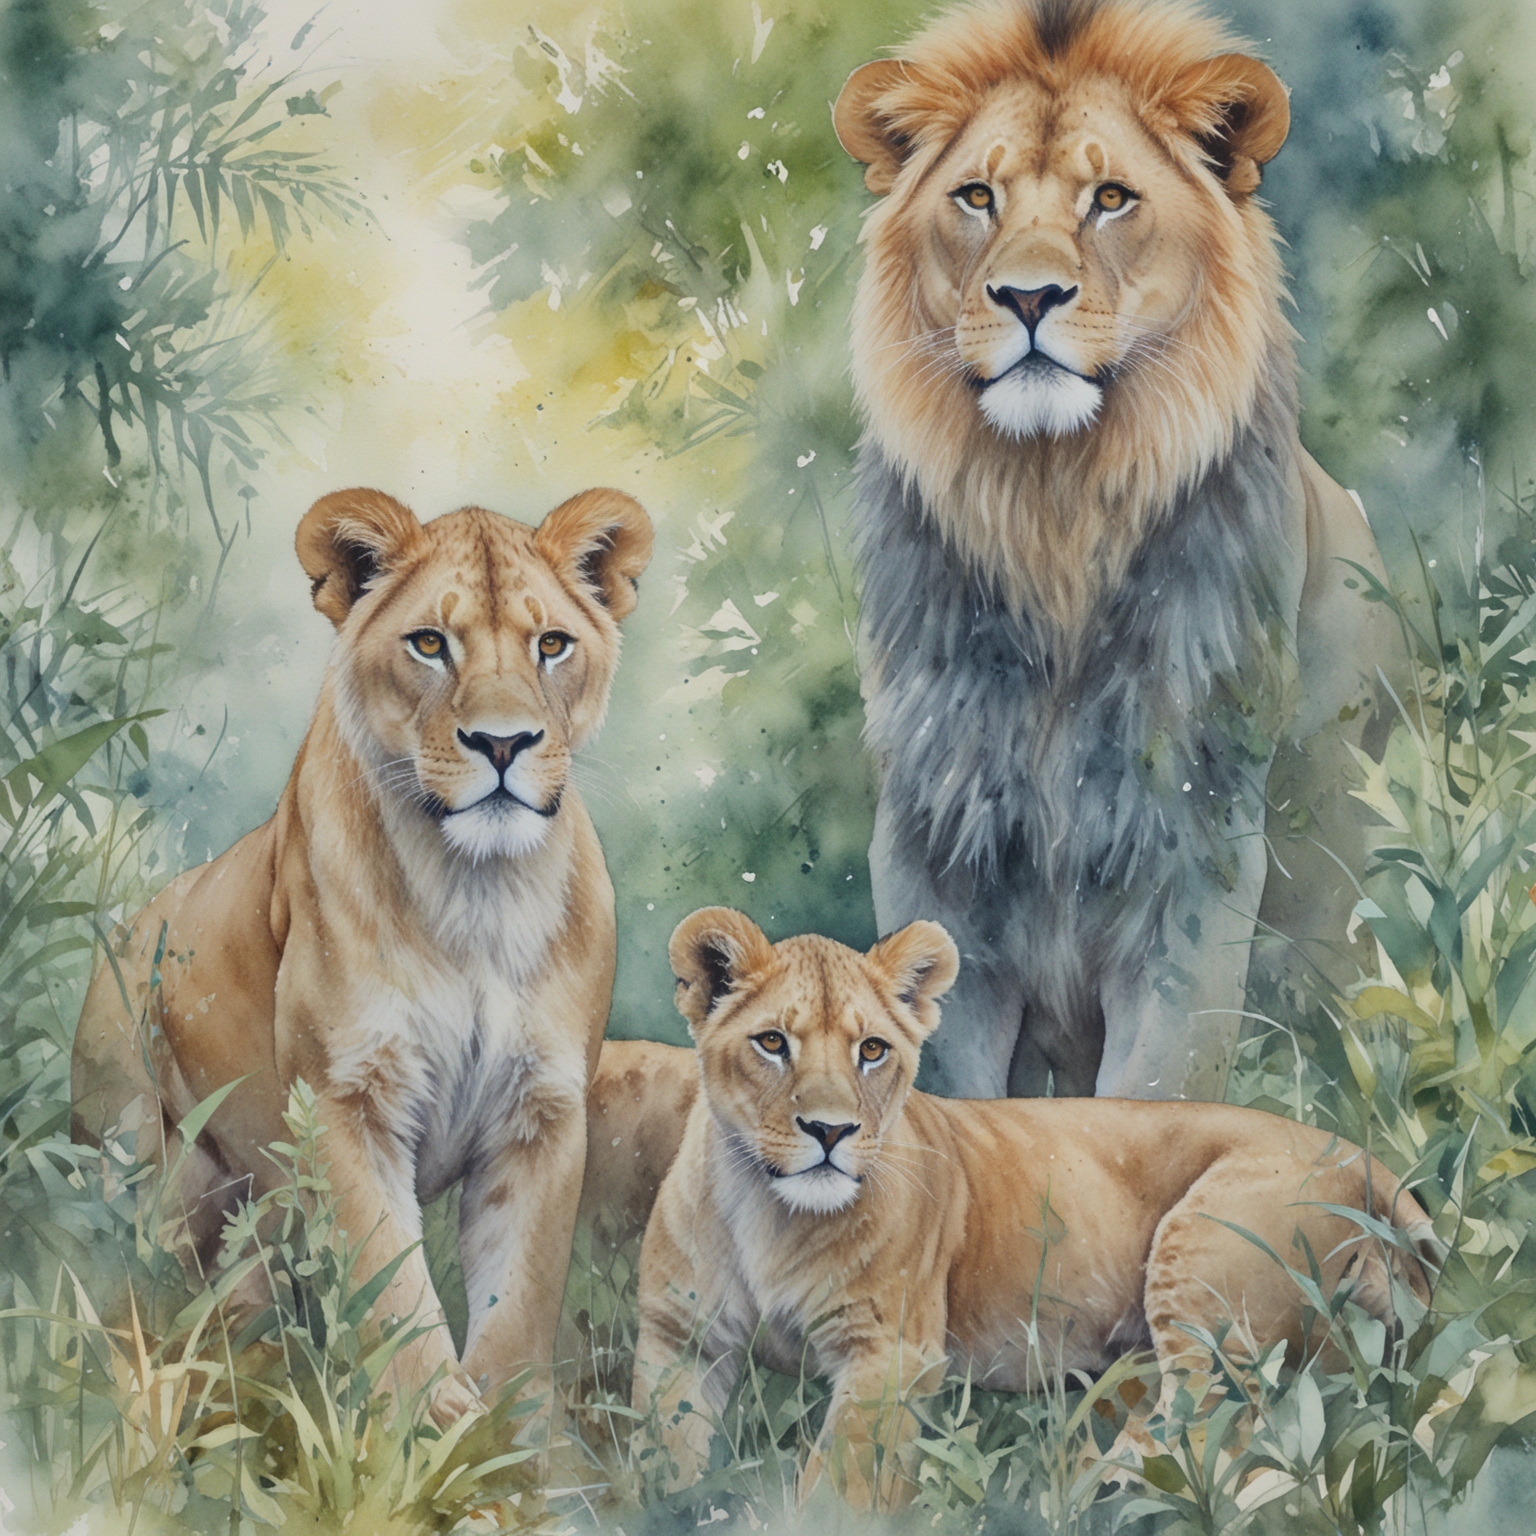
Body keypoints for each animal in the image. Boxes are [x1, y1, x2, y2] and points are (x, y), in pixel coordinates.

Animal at [71, 485, 652, 1423]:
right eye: (430, 643)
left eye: (552, 645)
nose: (503, 744)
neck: (476, 891)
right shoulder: (345, 1099)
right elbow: (393, 1288)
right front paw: (429, 1427)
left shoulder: (543, 1110)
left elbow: (519, 1300)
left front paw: (509, 1438)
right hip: (141, 1161)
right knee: (148, 1285)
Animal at [633, 909, 1437, 1510]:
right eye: (772, 1042)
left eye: (872, 1051)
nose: (831, 1132)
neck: (767, 1212)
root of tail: (1363, 1158)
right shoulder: (679, 1344)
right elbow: (663, 1457)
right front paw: (672, 1509)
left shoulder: (890, 1355)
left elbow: (838, 1487)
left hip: (1204, 1277)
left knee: (1220, 1427)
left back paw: (1100, 1494)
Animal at [833, 0, 1404, 1099]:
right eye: (977, 196)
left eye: (1110, 199)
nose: (1027, 298)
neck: (1054, 512)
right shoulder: (934, 844)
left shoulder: (1197, 854)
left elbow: (1158, 1089)